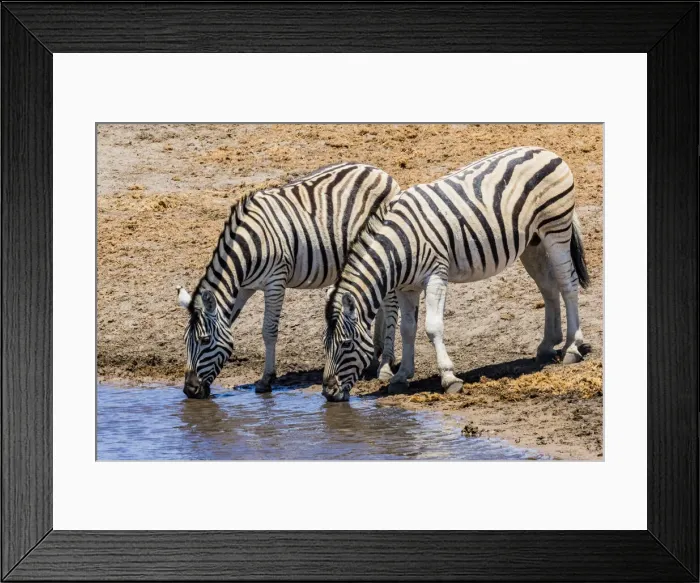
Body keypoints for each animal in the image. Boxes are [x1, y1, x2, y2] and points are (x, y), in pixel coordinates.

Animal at [176, 162, 402, 399]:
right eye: (185, 340)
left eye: (204, 340)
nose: (189, 390)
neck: (248, 248)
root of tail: (380, 172)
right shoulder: (244, 287)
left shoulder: (275, 281)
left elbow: (269, 330)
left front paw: (266, 379)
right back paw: (374, 359)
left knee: (391, 305)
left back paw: (386, 364)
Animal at [322, 146, 591, 402]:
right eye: (324, 344)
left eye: (346, 344)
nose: (328, 393)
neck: (398, 246)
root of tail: (546, 151)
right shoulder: (406, 287)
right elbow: (407, 328)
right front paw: (401, 377)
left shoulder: (435, 275)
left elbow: (432, 327)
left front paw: (448, 377)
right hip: (532, 243)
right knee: (548, 287)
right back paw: (547, 345)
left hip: (556, 228)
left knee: (567, 283)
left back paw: (572, 348)